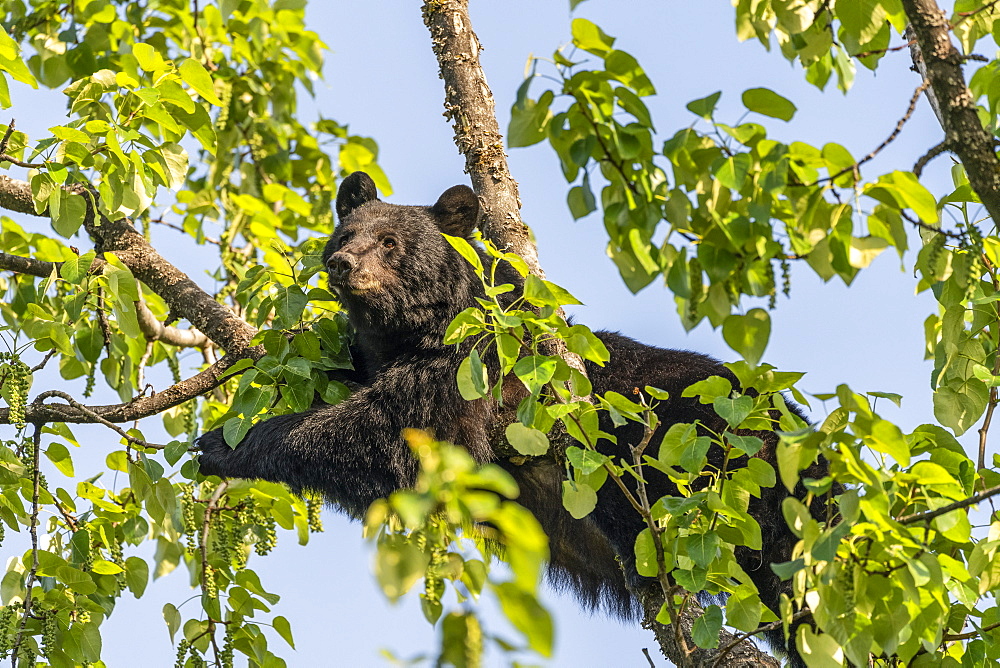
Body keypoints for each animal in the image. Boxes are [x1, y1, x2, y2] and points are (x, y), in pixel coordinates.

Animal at [199, 172, 832, 664]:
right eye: (345, 233)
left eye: (390, 240)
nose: (341, 263)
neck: (415, 331)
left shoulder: (473, 362)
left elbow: (396, 433)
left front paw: (227, 443)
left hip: (704, 450)